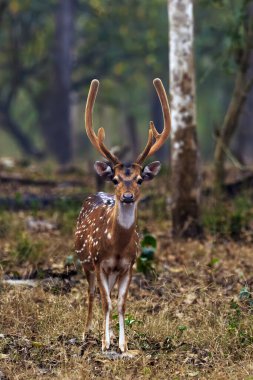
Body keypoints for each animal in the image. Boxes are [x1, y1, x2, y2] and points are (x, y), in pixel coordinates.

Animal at [74, 78, 171, 354]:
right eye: (116, 179)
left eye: (139, 179)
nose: (127, 196)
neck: (115, 246)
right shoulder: (99, 262)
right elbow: (106, 301)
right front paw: (105, 343)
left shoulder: (129, 265)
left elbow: (121, 303)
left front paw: (123, 344)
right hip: (85, 262)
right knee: (91, 293)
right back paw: (86, 332)